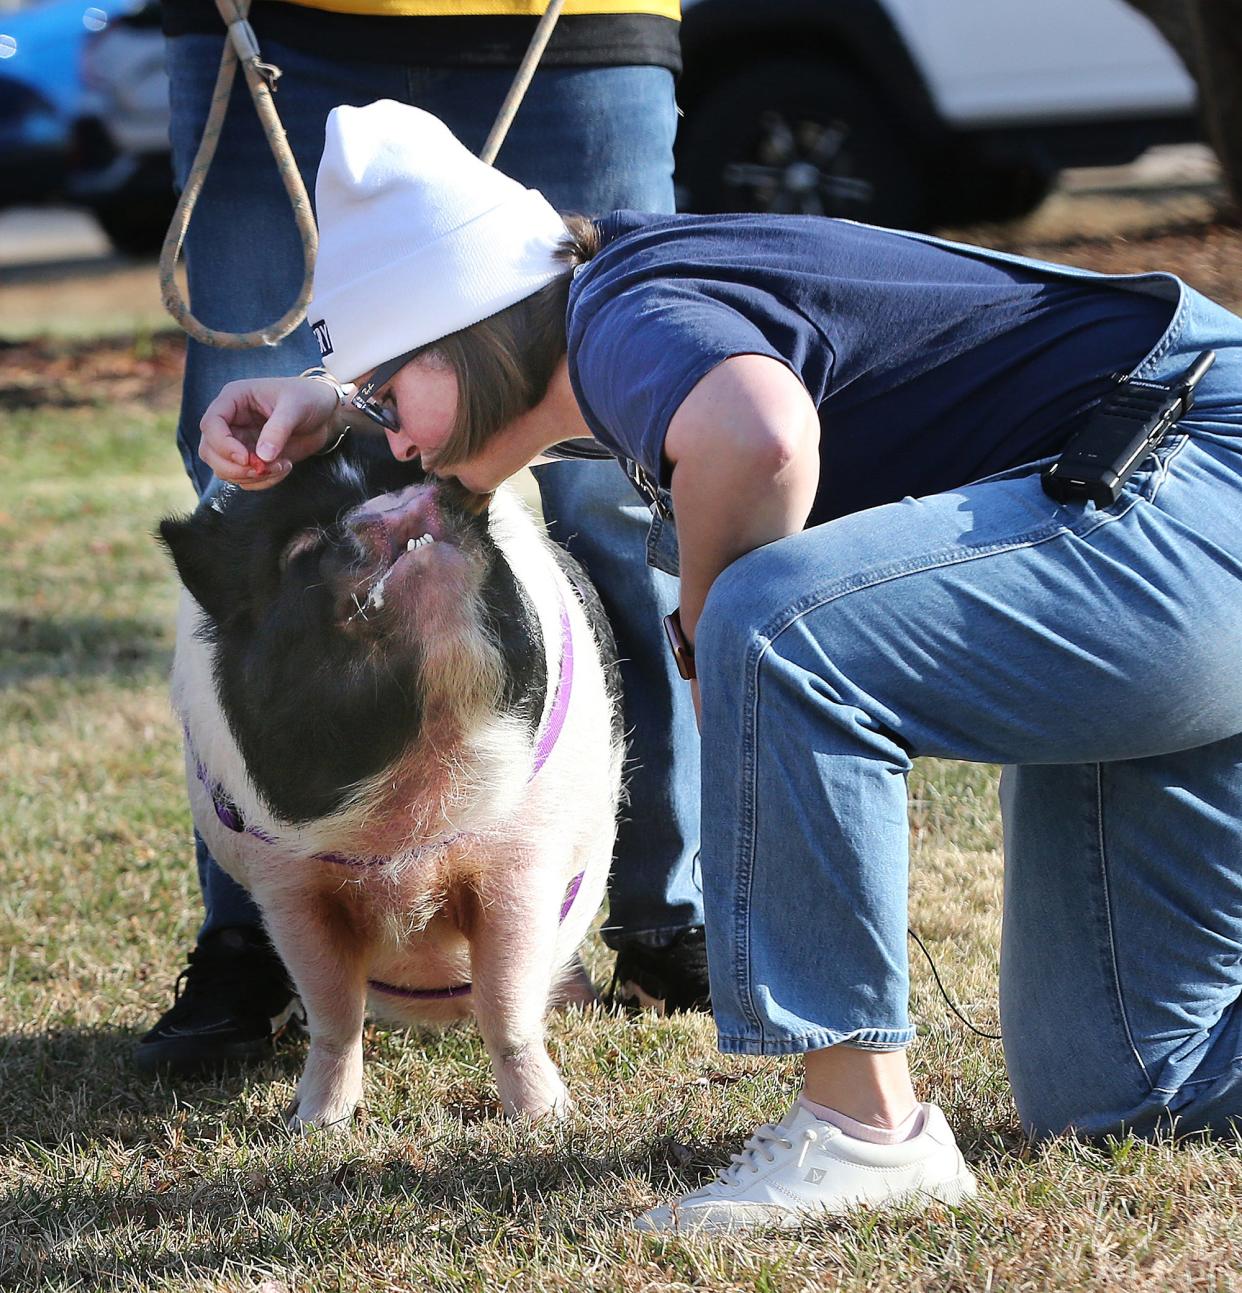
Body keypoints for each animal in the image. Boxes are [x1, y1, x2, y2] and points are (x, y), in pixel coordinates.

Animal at [157, 434, 620, 1122]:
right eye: (300, 547)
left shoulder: (519, 861)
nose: (404, 499)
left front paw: (548, 1118)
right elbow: (333, 1011)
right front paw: (316, 1124)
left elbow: (506, 1000)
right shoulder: (291, 886)